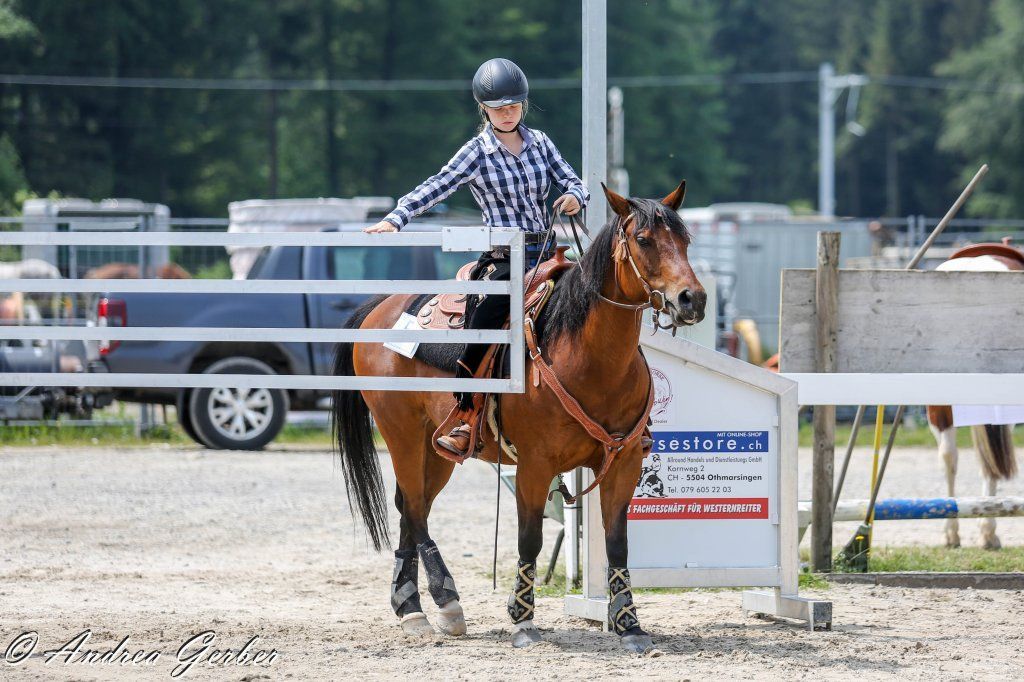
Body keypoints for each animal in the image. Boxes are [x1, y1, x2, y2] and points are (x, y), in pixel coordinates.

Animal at [330, 182, 706, 652]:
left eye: (686, 240)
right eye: (643, 239)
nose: (692, 298)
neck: (588, 358)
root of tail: (381, 306)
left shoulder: (624, 462)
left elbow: (617, 542)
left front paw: (629, 625)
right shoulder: (534, 465)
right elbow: (531, 539)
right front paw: (522, 619)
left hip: (435, 450)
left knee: (409, 507)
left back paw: (410, 605)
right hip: (400, 431)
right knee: (414, 508)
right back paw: (443, 602)